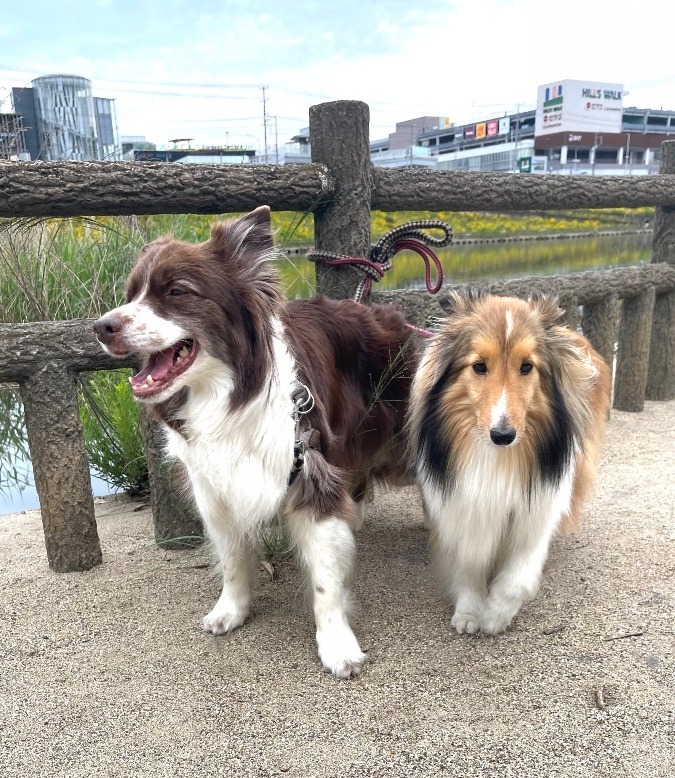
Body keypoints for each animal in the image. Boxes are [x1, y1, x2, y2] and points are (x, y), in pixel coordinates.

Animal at [92, 209, 414, 676]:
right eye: (131, 295)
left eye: (177, 291)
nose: (101, 327)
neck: (228, 397)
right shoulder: (214, 488)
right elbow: (232, 559)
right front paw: (232, 610)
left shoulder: (310, 470)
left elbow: (325, 579)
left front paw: (337, 644)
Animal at [406, 288, 612, 632]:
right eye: (479, 366)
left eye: (527, 366)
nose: (503, 435)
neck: (496, 458)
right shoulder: (462, 508)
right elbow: (468, 564)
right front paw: (469, 611)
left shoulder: (535, 514)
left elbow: (519, 579)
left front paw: (495, 615)